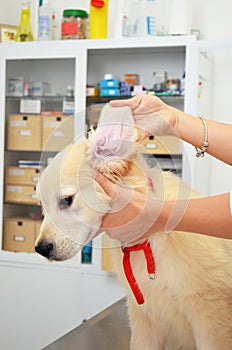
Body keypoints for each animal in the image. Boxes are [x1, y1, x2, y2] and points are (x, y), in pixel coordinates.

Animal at [35, 104, 232, 350]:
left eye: (67, 200)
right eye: (41, 206)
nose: (40, 249)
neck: (147, 242)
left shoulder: (212, 316)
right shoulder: (143, 318)